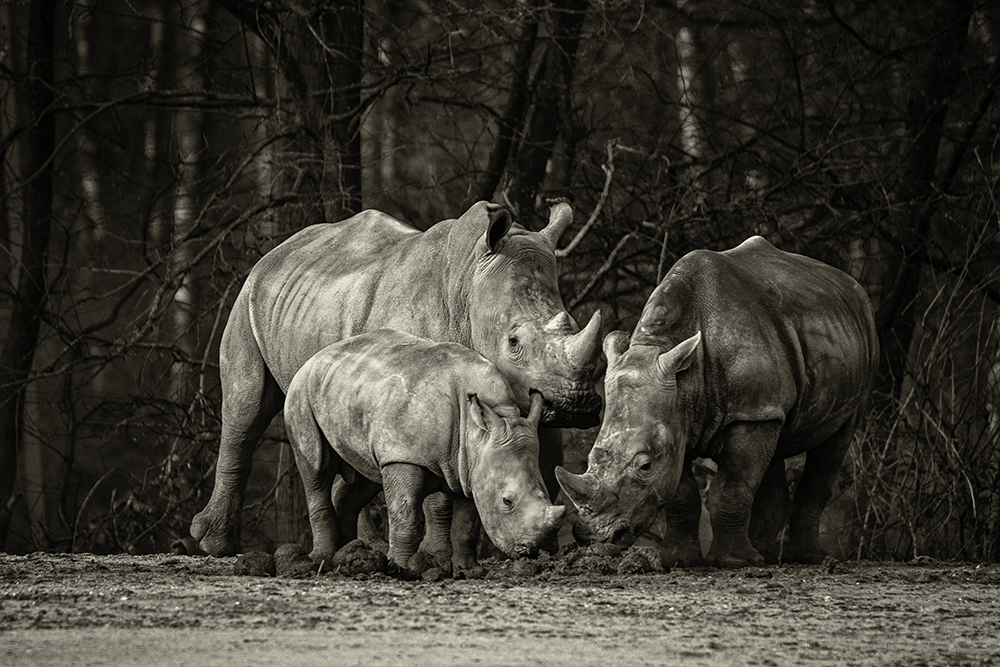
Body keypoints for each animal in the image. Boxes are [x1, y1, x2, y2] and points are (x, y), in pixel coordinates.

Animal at [284, 328, 564, 568]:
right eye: (507, 501)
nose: (535, 550)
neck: (478, 431)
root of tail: (318, 355)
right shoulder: (404, 455)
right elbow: (405, 514)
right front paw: (399, 567)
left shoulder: (470, 465)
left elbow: (467, 524)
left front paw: (467, 570)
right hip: (301, 391)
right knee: (316, 467)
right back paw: (322, 559)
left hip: (352, 394)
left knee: (366, 474)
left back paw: (345, 554)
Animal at [556, 236, 876, 568]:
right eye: (591, 458)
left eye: (645, 466)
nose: (593, 538)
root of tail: (848, 283)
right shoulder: (680, 418)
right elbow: (681, 493)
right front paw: (677, 560)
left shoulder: (746, 413)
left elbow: (731, 487)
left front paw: (733, 562)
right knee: (775, 440)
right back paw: (762, 555)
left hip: (861, 338)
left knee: (836, 439)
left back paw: (805, 558)